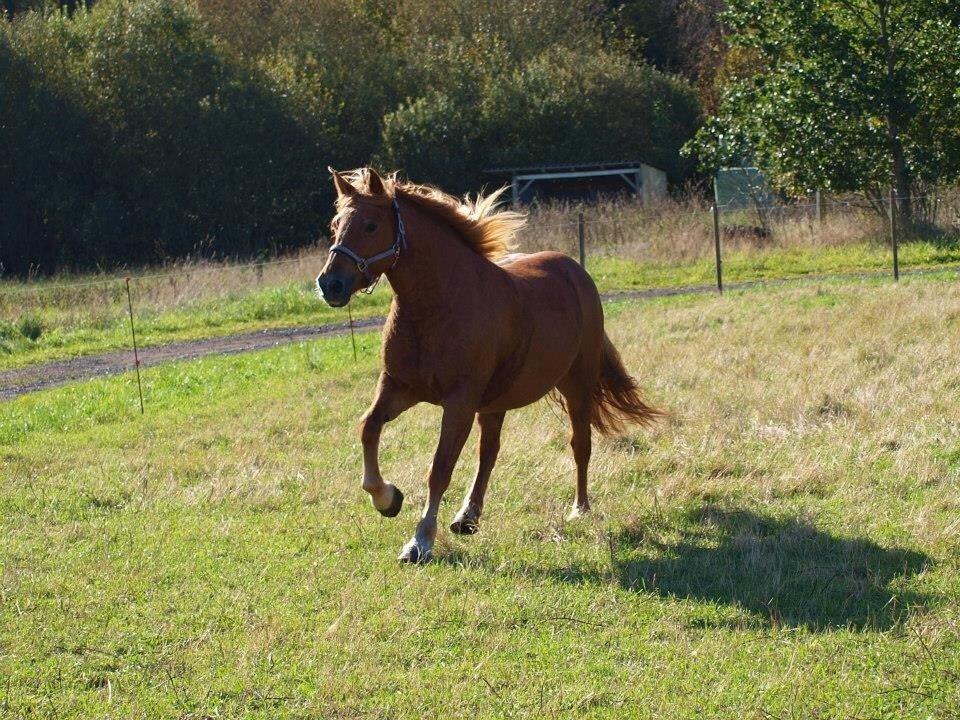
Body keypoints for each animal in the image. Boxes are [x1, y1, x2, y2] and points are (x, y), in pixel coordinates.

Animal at [316, 167, 660, 564]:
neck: (438, 305)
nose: (330, 284)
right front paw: (388, 499)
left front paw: (420, 541)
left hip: (576, 384)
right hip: (496, 403)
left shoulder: (459, 401)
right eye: (335, 224)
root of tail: (576, 272)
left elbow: (440, 467)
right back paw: (467, 516)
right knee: (489, 452)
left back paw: (579, 509)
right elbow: (368, 428)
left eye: (370, 225)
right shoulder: (398, 387)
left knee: (580, 443)